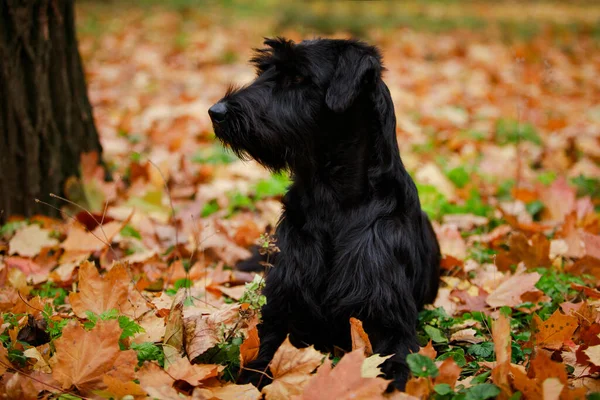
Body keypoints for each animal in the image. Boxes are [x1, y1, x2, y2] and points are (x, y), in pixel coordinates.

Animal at [209, 38, 438, 390]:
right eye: (264, 71)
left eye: (298, 77)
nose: (216, 112)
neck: (331, 199)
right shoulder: (281, 311)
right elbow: (261, 356)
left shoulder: (389, 323)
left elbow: (396, 363)